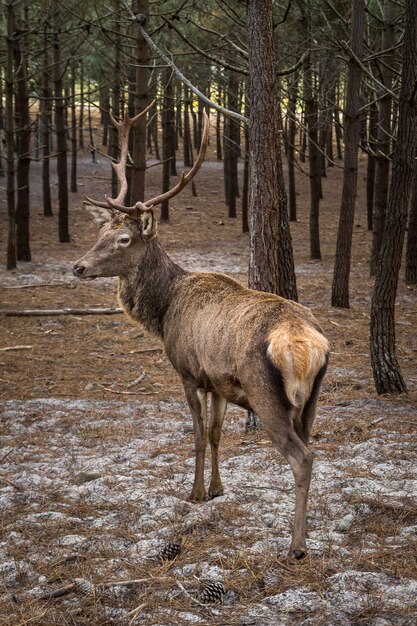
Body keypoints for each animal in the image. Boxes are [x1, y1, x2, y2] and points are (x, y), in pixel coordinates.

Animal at [73, 105, 330, 560]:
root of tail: (306, 342)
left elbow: (194, 435)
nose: (78, 266)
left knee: (302, 457)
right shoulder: (219, 383)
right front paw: (217, 489)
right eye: (100, 233)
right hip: (312, 398)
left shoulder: (189, 372)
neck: (164, 312)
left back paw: (296, 545)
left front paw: (193, 493)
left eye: (123, 239)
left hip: (267, 396)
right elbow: (214, 433)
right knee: (312, 446)